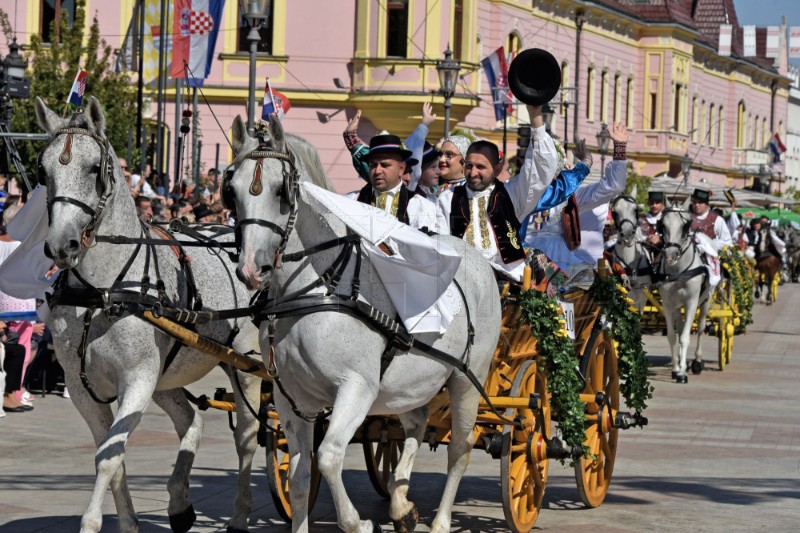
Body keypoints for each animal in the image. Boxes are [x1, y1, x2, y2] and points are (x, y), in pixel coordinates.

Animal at [36, 97, 260, 532]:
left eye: (94, 168)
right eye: (43, 169)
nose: (61, 245)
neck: (102, 292)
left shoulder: (137, 380)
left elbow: (109, 457)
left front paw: (91, 522)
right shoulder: (83, 388)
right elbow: (113, 456)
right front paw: (129, 523)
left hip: (246, 365)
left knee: (247, 435)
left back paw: (241, 514)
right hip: (166, 376)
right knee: (190, 420)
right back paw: (178, 501)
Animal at [223, 117, 500, 532]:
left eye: (280, 191)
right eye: (233, 190)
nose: (252, 270)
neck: (316, 291)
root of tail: (478, 258)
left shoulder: (357, 388)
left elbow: (329, 456)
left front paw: (357, 523)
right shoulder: (293, 399)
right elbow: (300, 479)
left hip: (467, 381)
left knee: (460, 450)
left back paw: (439, 521)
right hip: (409, 384)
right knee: (416, 424)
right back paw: (401, 505)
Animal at [656, 202, 712, 380]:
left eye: (686, 225)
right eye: (662, 224)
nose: (671, 255)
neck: (679, 271)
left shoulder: (691, 303)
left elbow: (686, 337)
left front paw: (681, 372)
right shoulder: (668, 304)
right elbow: (673, 336)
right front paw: (676, 368)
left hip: (706, 301)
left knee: (700, 328)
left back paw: (696, 362)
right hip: (677, 306)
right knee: (680, 329)